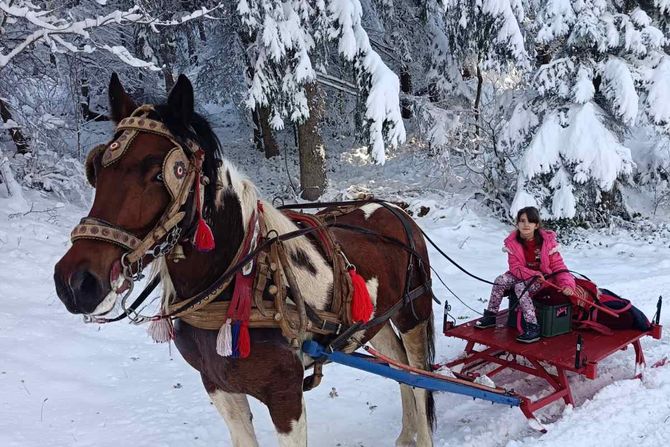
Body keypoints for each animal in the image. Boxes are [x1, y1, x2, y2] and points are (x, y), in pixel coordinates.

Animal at [53, 74, 440, 447]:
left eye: (162, 172)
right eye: (96, 170)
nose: (74, 282)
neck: (237, 280)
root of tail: (393, 209)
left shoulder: (286, 397)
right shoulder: (218, 386)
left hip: (413, 314)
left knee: (420, 380)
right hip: (375, 322)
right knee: (401, 371)